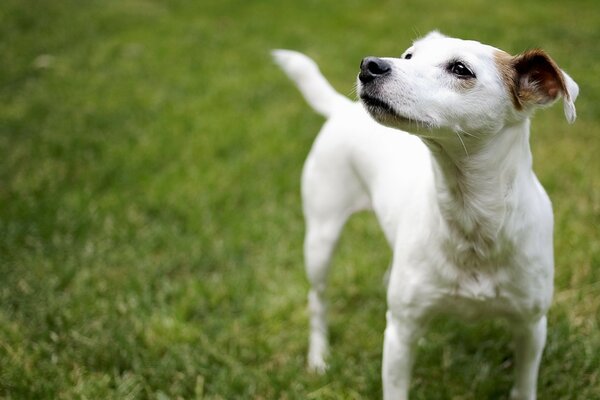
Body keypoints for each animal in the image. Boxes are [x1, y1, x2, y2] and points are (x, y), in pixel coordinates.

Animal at [272, 32, 576, 400]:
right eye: (409, 55)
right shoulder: (400, 334)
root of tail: (343, 109)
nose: (369, 65)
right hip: (321, 238)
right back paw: (318, 358)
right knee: (317, 301)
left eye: (460, 69)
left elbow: (524, 384)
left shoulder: (531, 327)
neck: (471, 219)